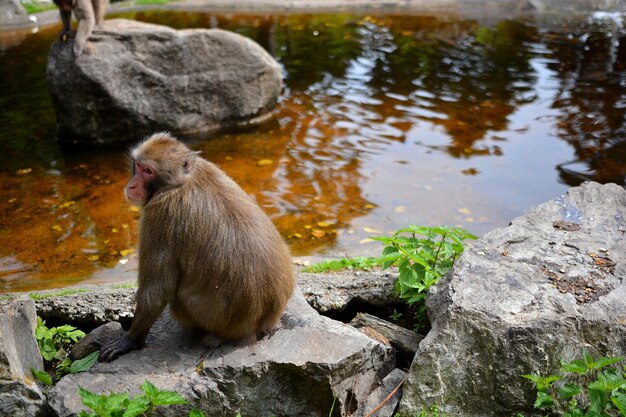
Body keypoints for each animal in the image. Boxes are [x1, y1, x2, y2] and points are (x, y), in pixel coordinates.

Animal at [98, 132, 294, 360]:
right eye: (137, 166)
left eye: (148, 171)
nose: (132, 186)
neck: (180, 181)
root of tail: (253, 327)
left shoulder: (159, 215)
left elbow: (157, 290)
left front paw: (129, 341)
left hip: (195, 314)